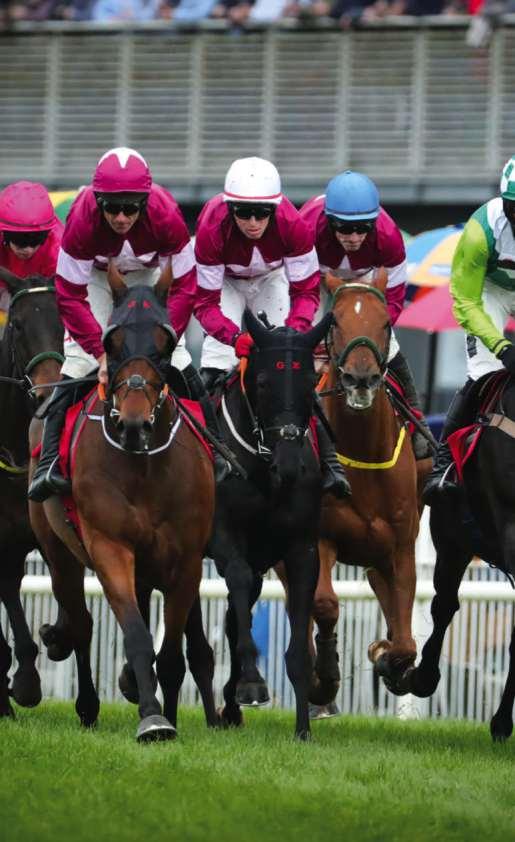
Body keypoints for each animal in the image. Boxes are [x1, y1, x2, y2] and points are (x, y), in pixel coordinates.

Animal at [31, 261, 218, 741]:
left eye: (165, 341)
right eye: (111, 343)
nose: (134, 423)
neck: (144, 467)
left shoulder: (187, 560)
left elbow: (170, 652)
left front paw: (167, 713)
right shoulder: (109, 547)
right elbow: (135, 635)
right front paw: (152, 717)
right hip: (59, 552)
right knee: (82, 624)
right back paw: (88, 705)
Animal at [207, 309, 333, 740]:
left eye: (311, 382)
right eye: (263, 382)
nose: (290, 465)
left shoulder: (301, 548)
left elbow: (295, 646)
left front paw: (302, 729)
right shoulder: (224, 537)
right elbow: (238, 580)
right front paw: (251, 682)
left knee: (234, 615)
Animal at [304, 271, 430, 705]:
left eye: (386, 322)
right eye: (335, 321)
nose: (361, 379)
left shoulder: (401, 546)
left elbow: (406, 641)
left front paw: (386, 657)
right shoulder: (320, 536)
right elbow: (324, 603)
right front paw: (324, 676)